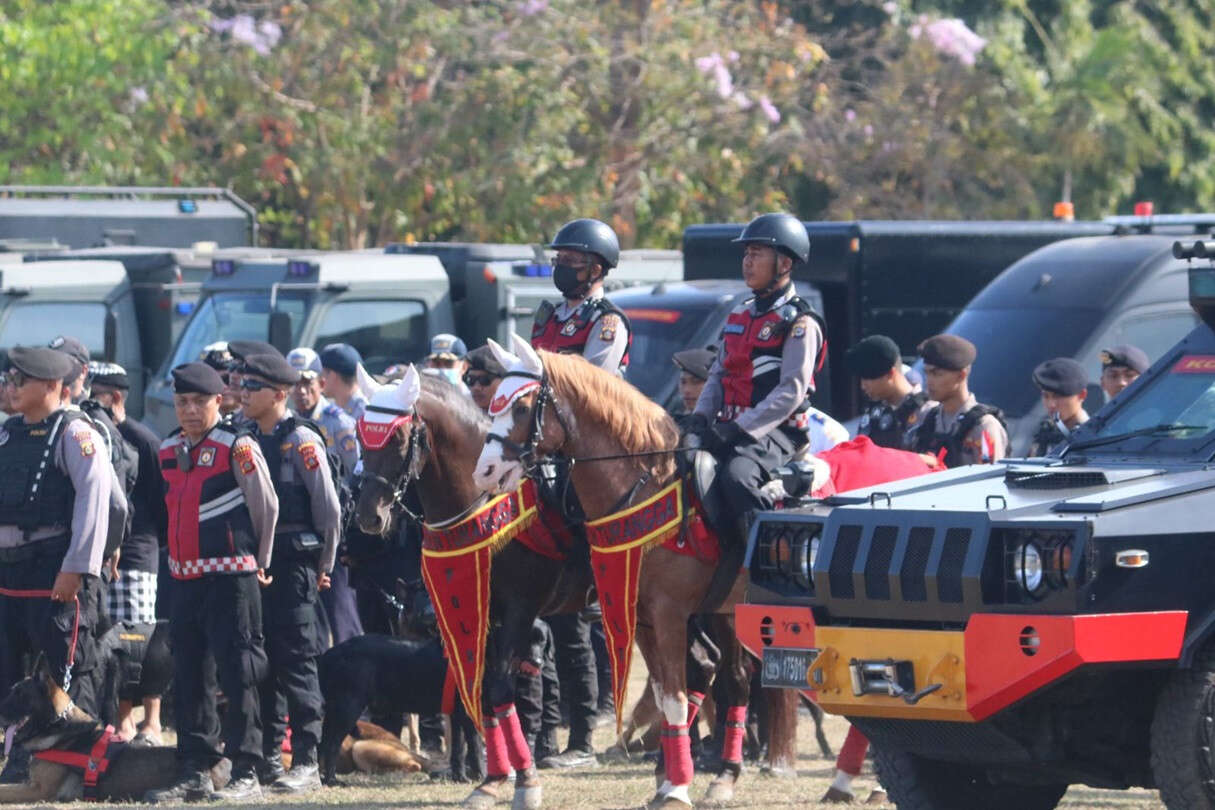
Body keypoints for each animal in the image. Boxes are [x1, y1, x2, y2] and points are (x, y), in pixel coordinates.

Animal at [352, 369, 588, 810]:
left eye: (398, 438)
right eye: (361, 436)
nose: (368, 517)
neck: (486, 503)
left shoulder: (519, 611)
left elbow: (498, 689)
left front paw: (524, 781)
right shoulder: (480, 614)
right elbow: (484, 692)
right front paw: (491, 780)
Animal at [476, 337, 753, 810]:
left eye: (522, 406)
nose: (485, 470)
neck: (646, 483)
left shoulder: (665, 614)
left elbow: (674, 697)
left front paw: (676, 788)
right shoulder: (642, 615)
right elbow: (665, 694)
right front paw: (668, 780)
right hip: (722, 609)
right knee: (724, 672)